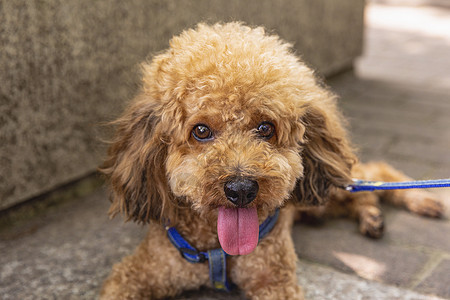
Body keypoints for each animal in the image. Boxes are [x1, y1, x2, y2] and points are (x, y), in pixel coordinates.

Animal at [99, 22, 442, 298]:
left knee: (374, 175)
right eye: (200, 131)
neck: (220, 250)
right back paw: (371, 217)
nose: (241, 189)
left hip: (331, 182)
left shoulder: (275, 281)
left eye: (266, 128)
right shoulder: (137, 273)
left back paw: (424, 200)